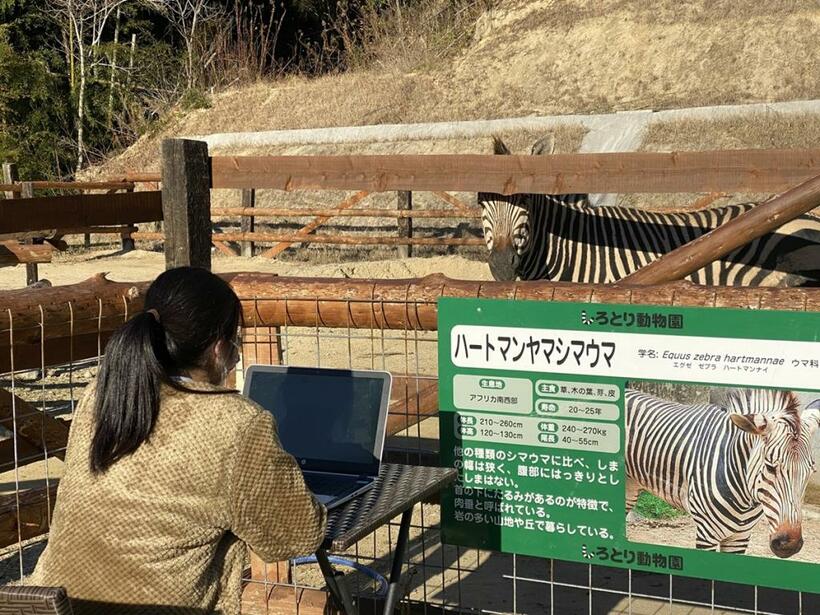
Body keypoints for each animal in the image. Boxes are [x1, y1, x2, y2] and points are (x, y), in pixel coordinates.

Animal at [624, 390, 816, 560]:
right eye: (770, 467)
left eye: (811, 471)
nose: (789, 545)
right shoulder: (706, 532)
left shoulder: (740, 537)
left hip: (630, 486)